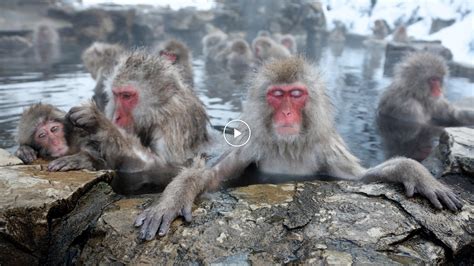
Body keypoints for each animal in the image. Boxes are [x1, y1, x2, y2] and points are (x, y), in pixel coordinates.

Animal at [134, 57, 462, 240]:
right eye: (278, 95)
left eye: (296, 94)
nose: (288, 113)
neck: (288, 146)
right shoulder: (252, 145)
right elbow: (210, 176)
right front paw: (171, 200)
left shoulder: (327, 149)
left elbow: (359, 178)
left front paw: (416, 173)